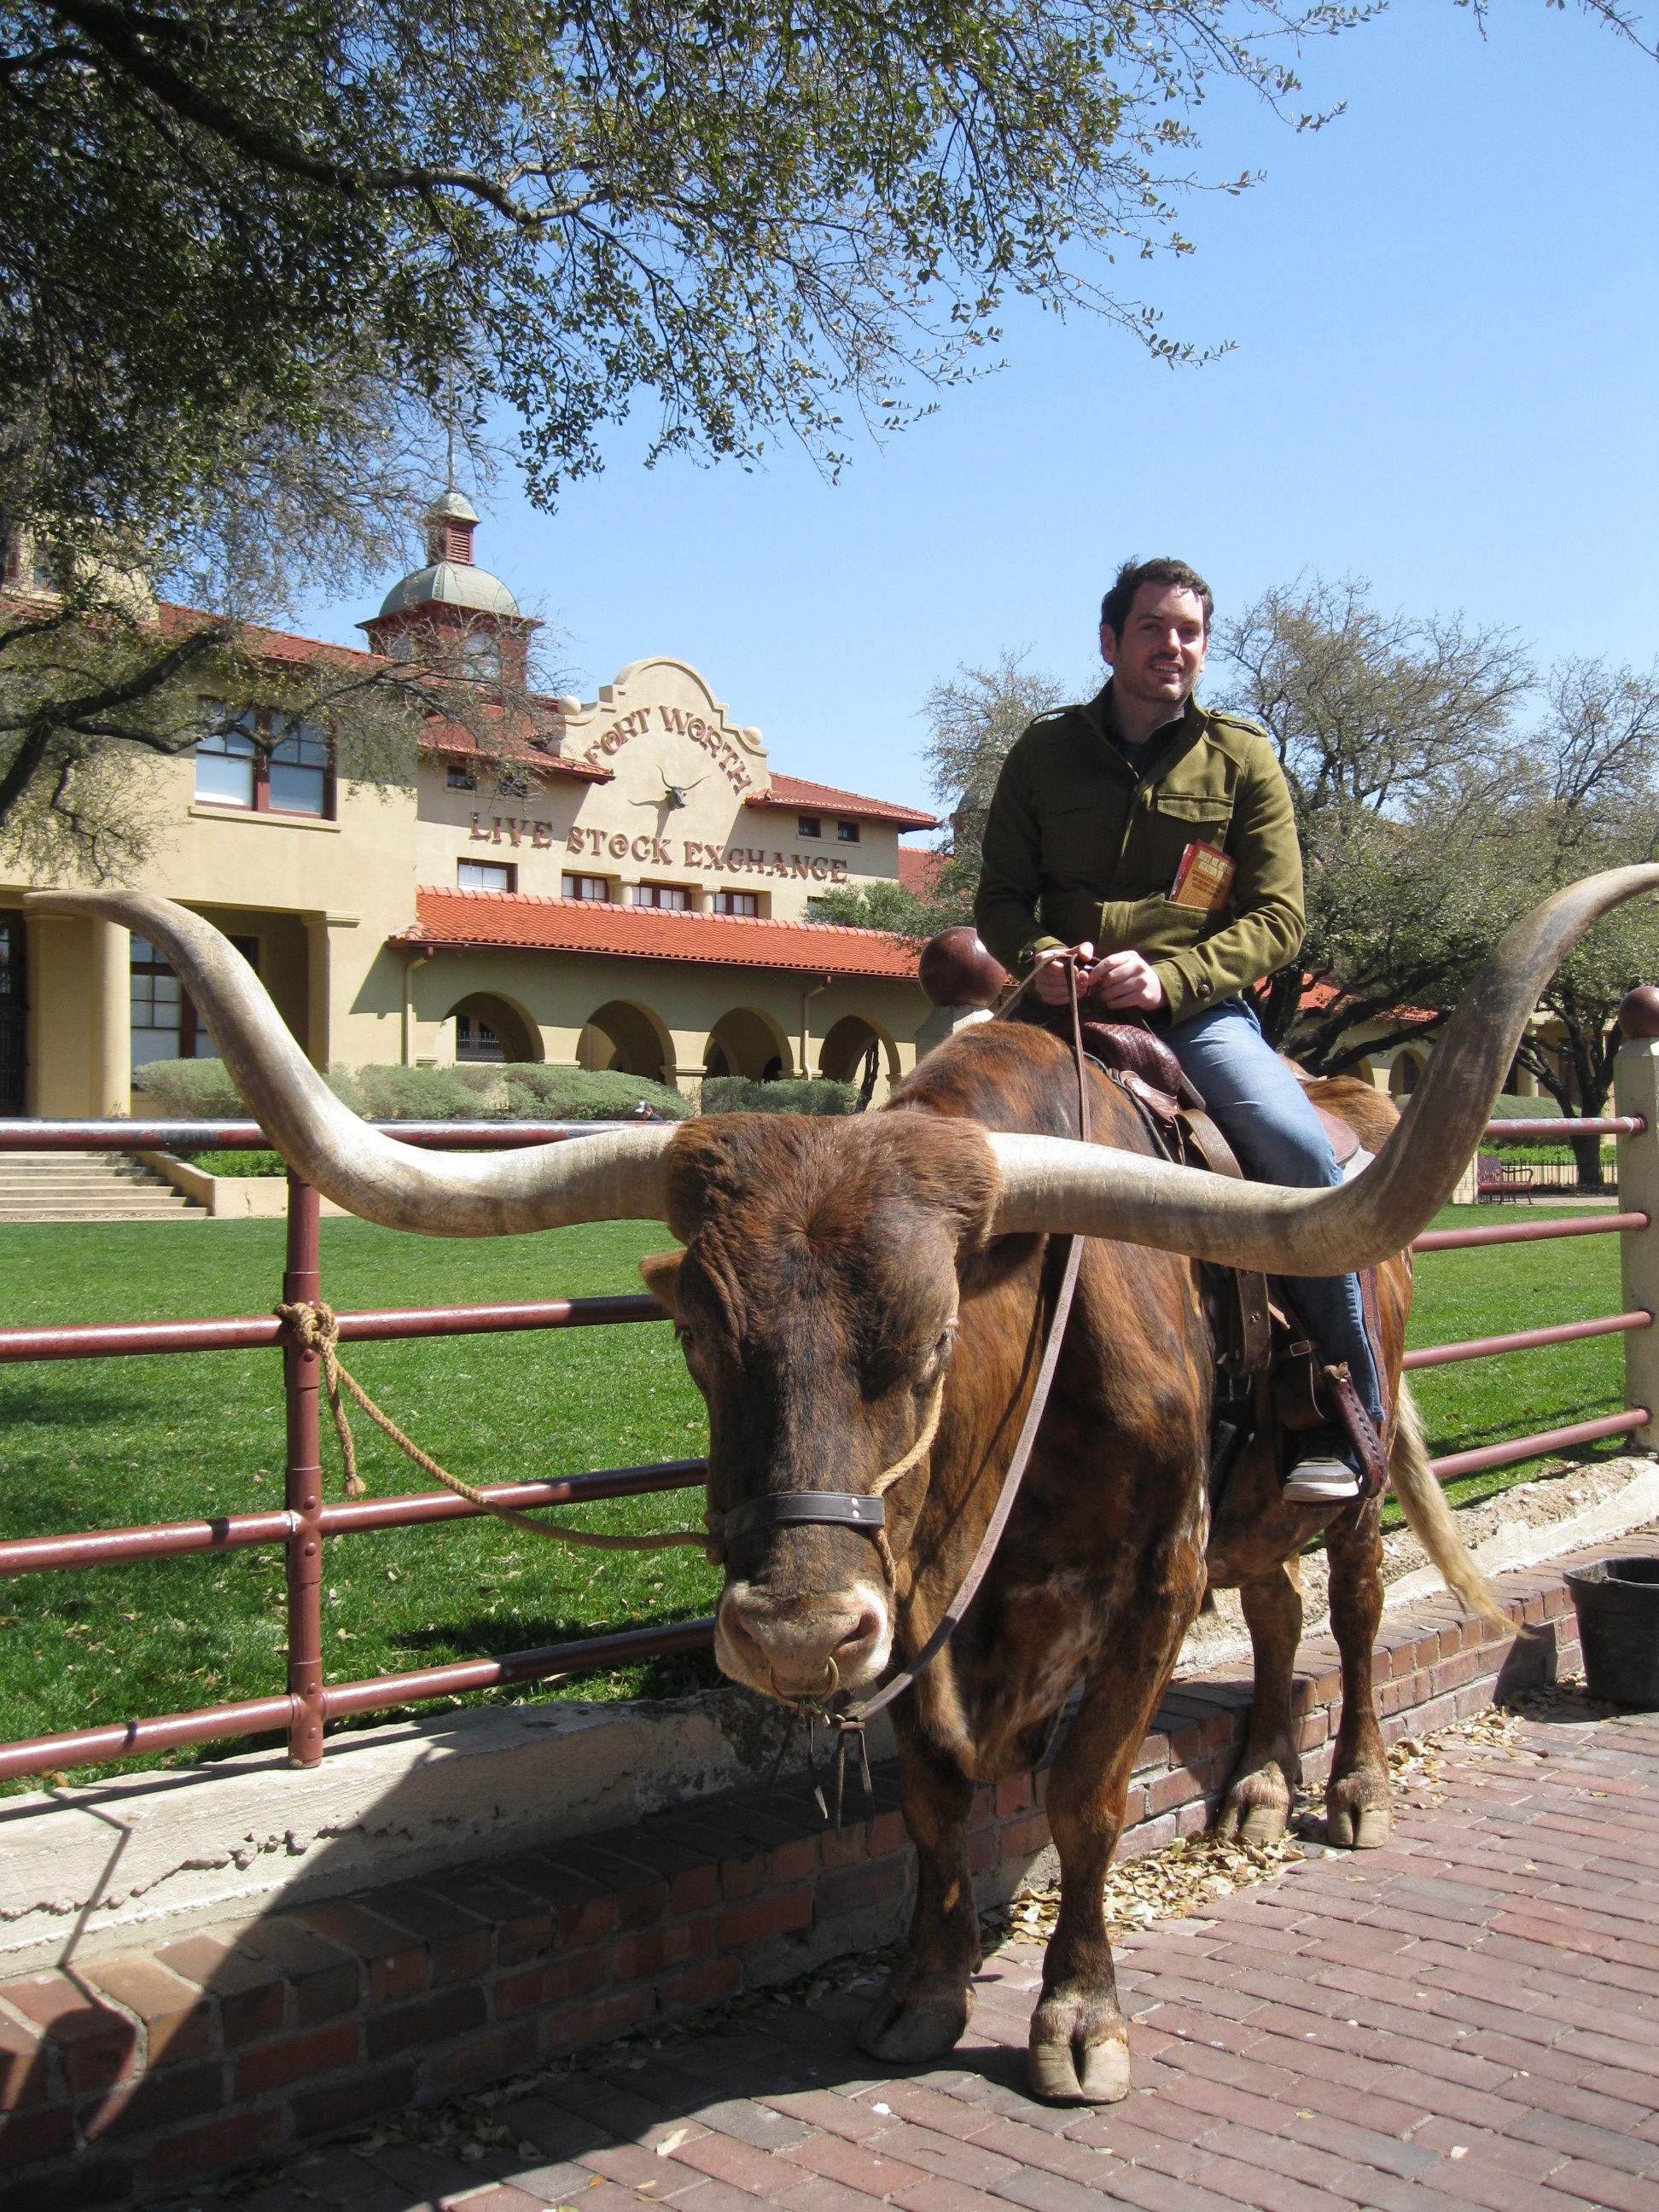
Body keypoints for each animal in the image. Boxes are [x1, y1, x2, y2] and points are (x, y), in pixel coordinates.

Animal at [32, 865, 1658, 2108]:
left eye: (935, 1337)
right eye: (696, 1329)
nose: (797, 1636)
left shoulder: (1148, 1569)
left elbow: (1078, 1791)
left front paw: (1076, 2015)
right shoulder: (926, 1596)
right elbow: (936, 1791)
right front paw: (922, 1987)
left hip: (1351, 1467)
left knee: (1358, 1610)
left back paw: (1350, 1787)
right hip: (1242, 1508)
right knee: (1270, 1616)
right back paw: (1255, 1783)